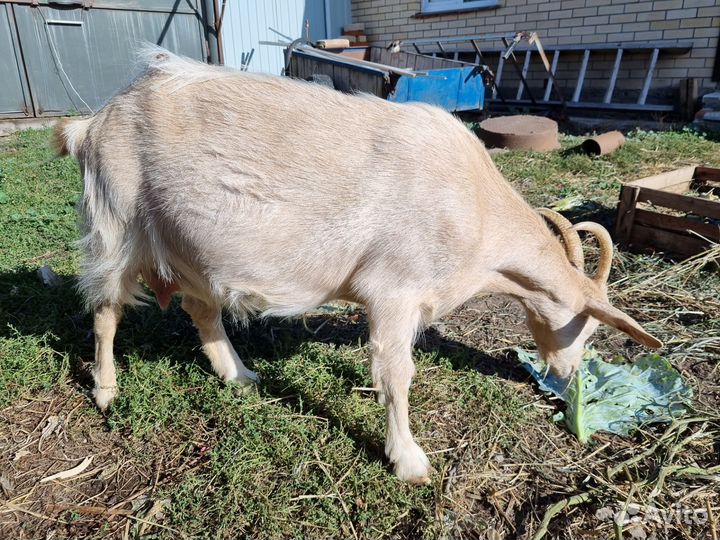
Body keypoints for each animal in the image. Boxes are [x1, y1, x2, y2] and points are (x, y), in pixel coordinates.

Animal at [54, 50, 661, 485]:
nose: (567, 378)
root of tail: (91, 124)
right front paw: (409, 461)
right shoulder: (393, 289)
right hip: (116, 221)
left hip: (192, 248)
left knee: (201, 309)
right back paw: (106, 390)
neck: (478, 213)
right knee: (106, 311)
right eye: (585, 326)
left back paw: (240, 375)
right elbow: (397, 374)